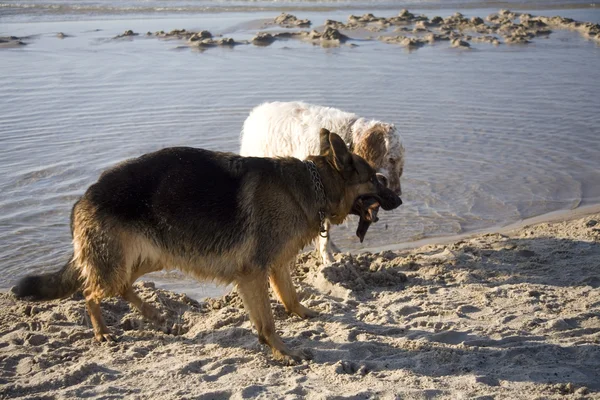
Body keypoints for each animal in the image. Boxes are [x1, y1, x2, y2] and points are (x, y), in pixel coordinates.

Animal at [14, 127, 400, 362]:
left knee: (122, 286)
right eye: (375, 180)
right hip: (120, 263)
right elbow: (268, 322)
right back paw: (103, 332)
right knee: (89, 293)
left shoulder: (276, 266)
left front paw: (304, 316)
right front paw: (284, 352)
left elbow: (290, 298)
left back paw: (156, 316)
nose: (397, 200)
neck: (313, 183)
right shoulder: (254, 274)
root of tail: (85, 196)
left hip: (151, 255)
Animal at [239, 101, 404, 262]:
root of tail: (257, 111)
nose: (398, 192)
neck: (348, 140)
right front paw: (327, 258)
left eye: (400, 163)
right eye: (392, 159)